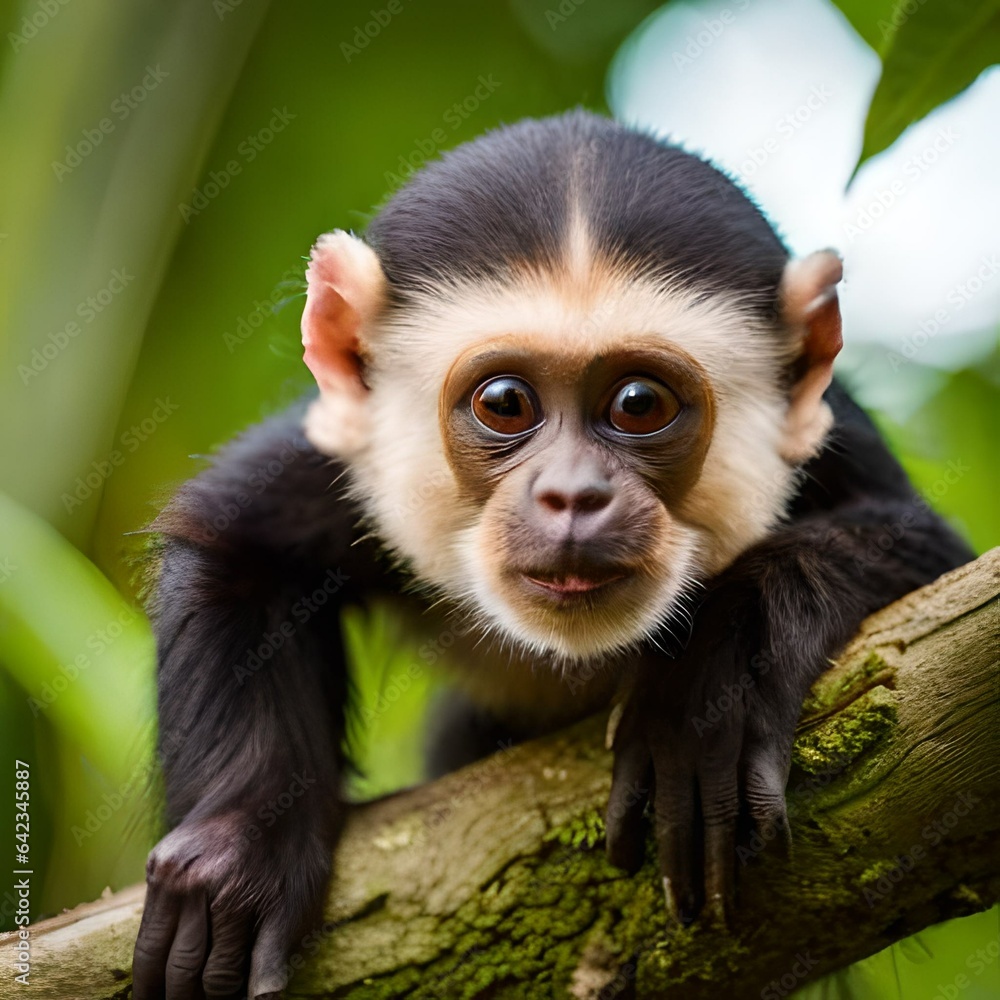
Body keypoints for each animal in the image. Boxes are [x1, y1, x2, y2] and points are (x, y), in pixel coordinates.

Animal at [130, 110, 973, 999]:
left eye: (638, 405)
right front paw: (234, 850)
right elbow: (233, 543)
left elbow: (928, 554)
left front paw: (711, 685)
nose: (573, 495)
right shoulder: (328, 454)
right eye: (505, 403)